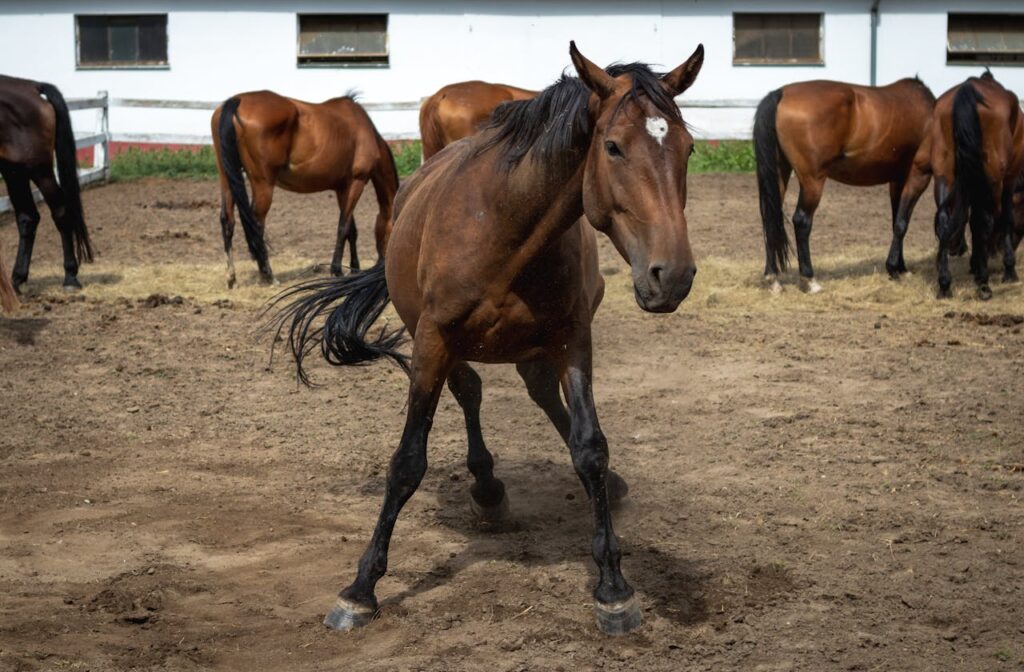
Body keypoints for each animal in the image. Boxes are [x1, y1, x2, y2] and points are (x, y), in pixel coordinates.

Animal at [0, 76, 94, 293]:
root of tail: (32, 86)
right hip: (14, 170)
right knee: (28, 217)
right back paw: (17, 279)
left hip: (39, 170)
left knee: (61, 211)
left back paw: (70, 277)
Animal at [211, 91, 399, 288]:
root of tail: (237, 101)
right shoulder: (357, 182)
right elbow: (343, 227)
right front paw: (337, 270)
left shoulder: (343, 188)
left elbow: (351, 231)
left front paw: (354, 268)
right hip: (263, 184)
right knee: (256, 223)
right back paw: (268, 275)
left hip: (227, 177)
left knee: (227, 221)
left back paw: (231, 277)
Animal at [270, 41, 704, 636]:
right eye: (613, 146)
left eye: (687, 148)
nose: (673, 275)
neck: (506, 228)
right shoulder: (431, 343)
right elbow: (407, 461)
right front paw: (360, 589)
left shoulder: (573, 339)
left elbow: (590, 448)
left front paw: (614, 587)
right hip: (441, 343)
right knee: (470, 392)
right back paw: (486, 486)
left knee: (539, 394)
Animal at [754, 78, 936, 293]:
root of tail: (780, 93)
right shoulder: (917, 177)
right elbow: (901, 224)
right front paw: (894, 269)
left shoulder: (897, 180)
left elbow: (896, 221)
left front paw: (901, 267)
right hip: (813, 181)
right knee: (801, 221)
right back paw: (809, 280)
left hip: (779, 174)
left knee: (770, 218)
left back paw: (772, 278)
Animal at [917, 72, 1024, 299]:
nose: (996, 251)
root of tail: (967, 91)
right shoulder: (1009, 179)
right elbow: (1005, 218)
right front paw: (1009, 269)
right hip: (992, 177)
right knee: (982, 222)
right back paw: (983, 283)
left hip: (944, 173)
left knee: (945, 219)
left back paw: (945, 284)